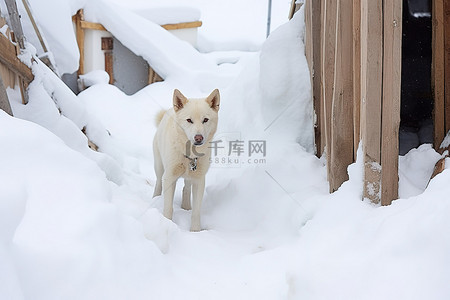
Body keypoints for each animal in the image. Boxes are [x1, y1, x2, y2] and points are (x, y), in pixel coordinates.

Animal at [153, 88, 220, 231]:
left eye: (205, 120)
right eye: (189, 120)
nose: (198, 138)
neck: (189, 155)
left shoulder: (199, 181)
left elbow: (196, 211)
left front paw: (195, 231)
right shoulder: (169, 177)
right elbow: (168, 208)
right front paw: (167, 224)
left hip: (191, 176)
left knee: (186, 188)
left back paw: (186, 206)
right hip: (160, 167)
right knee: (158, 183)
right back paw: (155, 198)